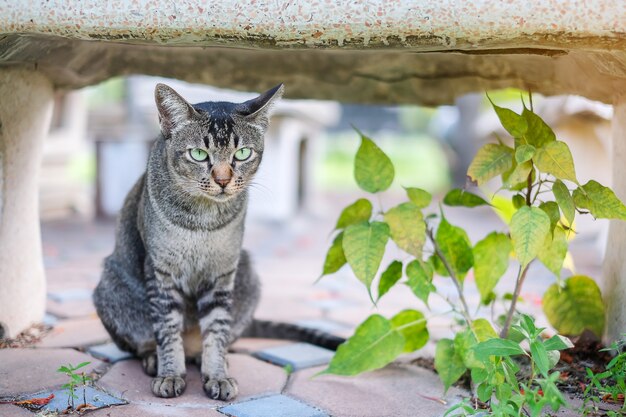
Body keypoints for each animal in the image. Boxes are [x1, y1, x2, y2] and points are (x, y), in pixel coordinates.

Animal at [94, 83, 342, 400]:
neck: (203, 221)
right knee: (144, 342)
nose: (223, 180)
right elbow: (166, 329)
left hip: (247, 271)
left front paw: (217, 375)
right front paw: (170, 373)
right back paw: (153, 359)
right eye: (199, 154)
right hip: (110, 285)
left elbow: (217, 330)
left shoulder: (223, 272)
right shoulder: (161, 272)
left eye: (243, 153)